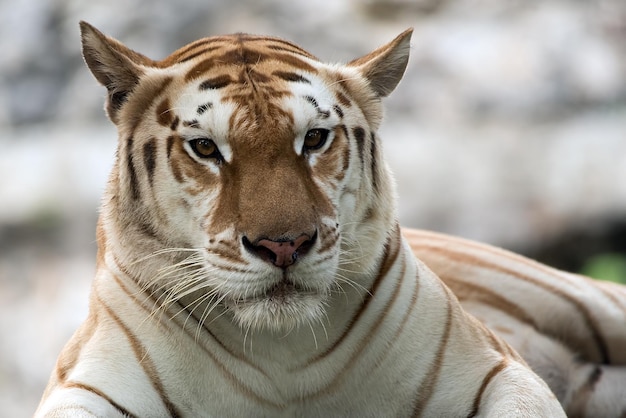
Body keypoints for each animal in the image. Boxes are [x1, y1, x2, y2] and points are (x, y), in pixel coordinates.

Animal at [35, 22, 572, 414]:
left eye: (314, 138)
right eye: (205, 147)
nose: (284, 246)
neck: (280, 354)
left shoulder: (494, 369)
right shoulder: (90, 383)